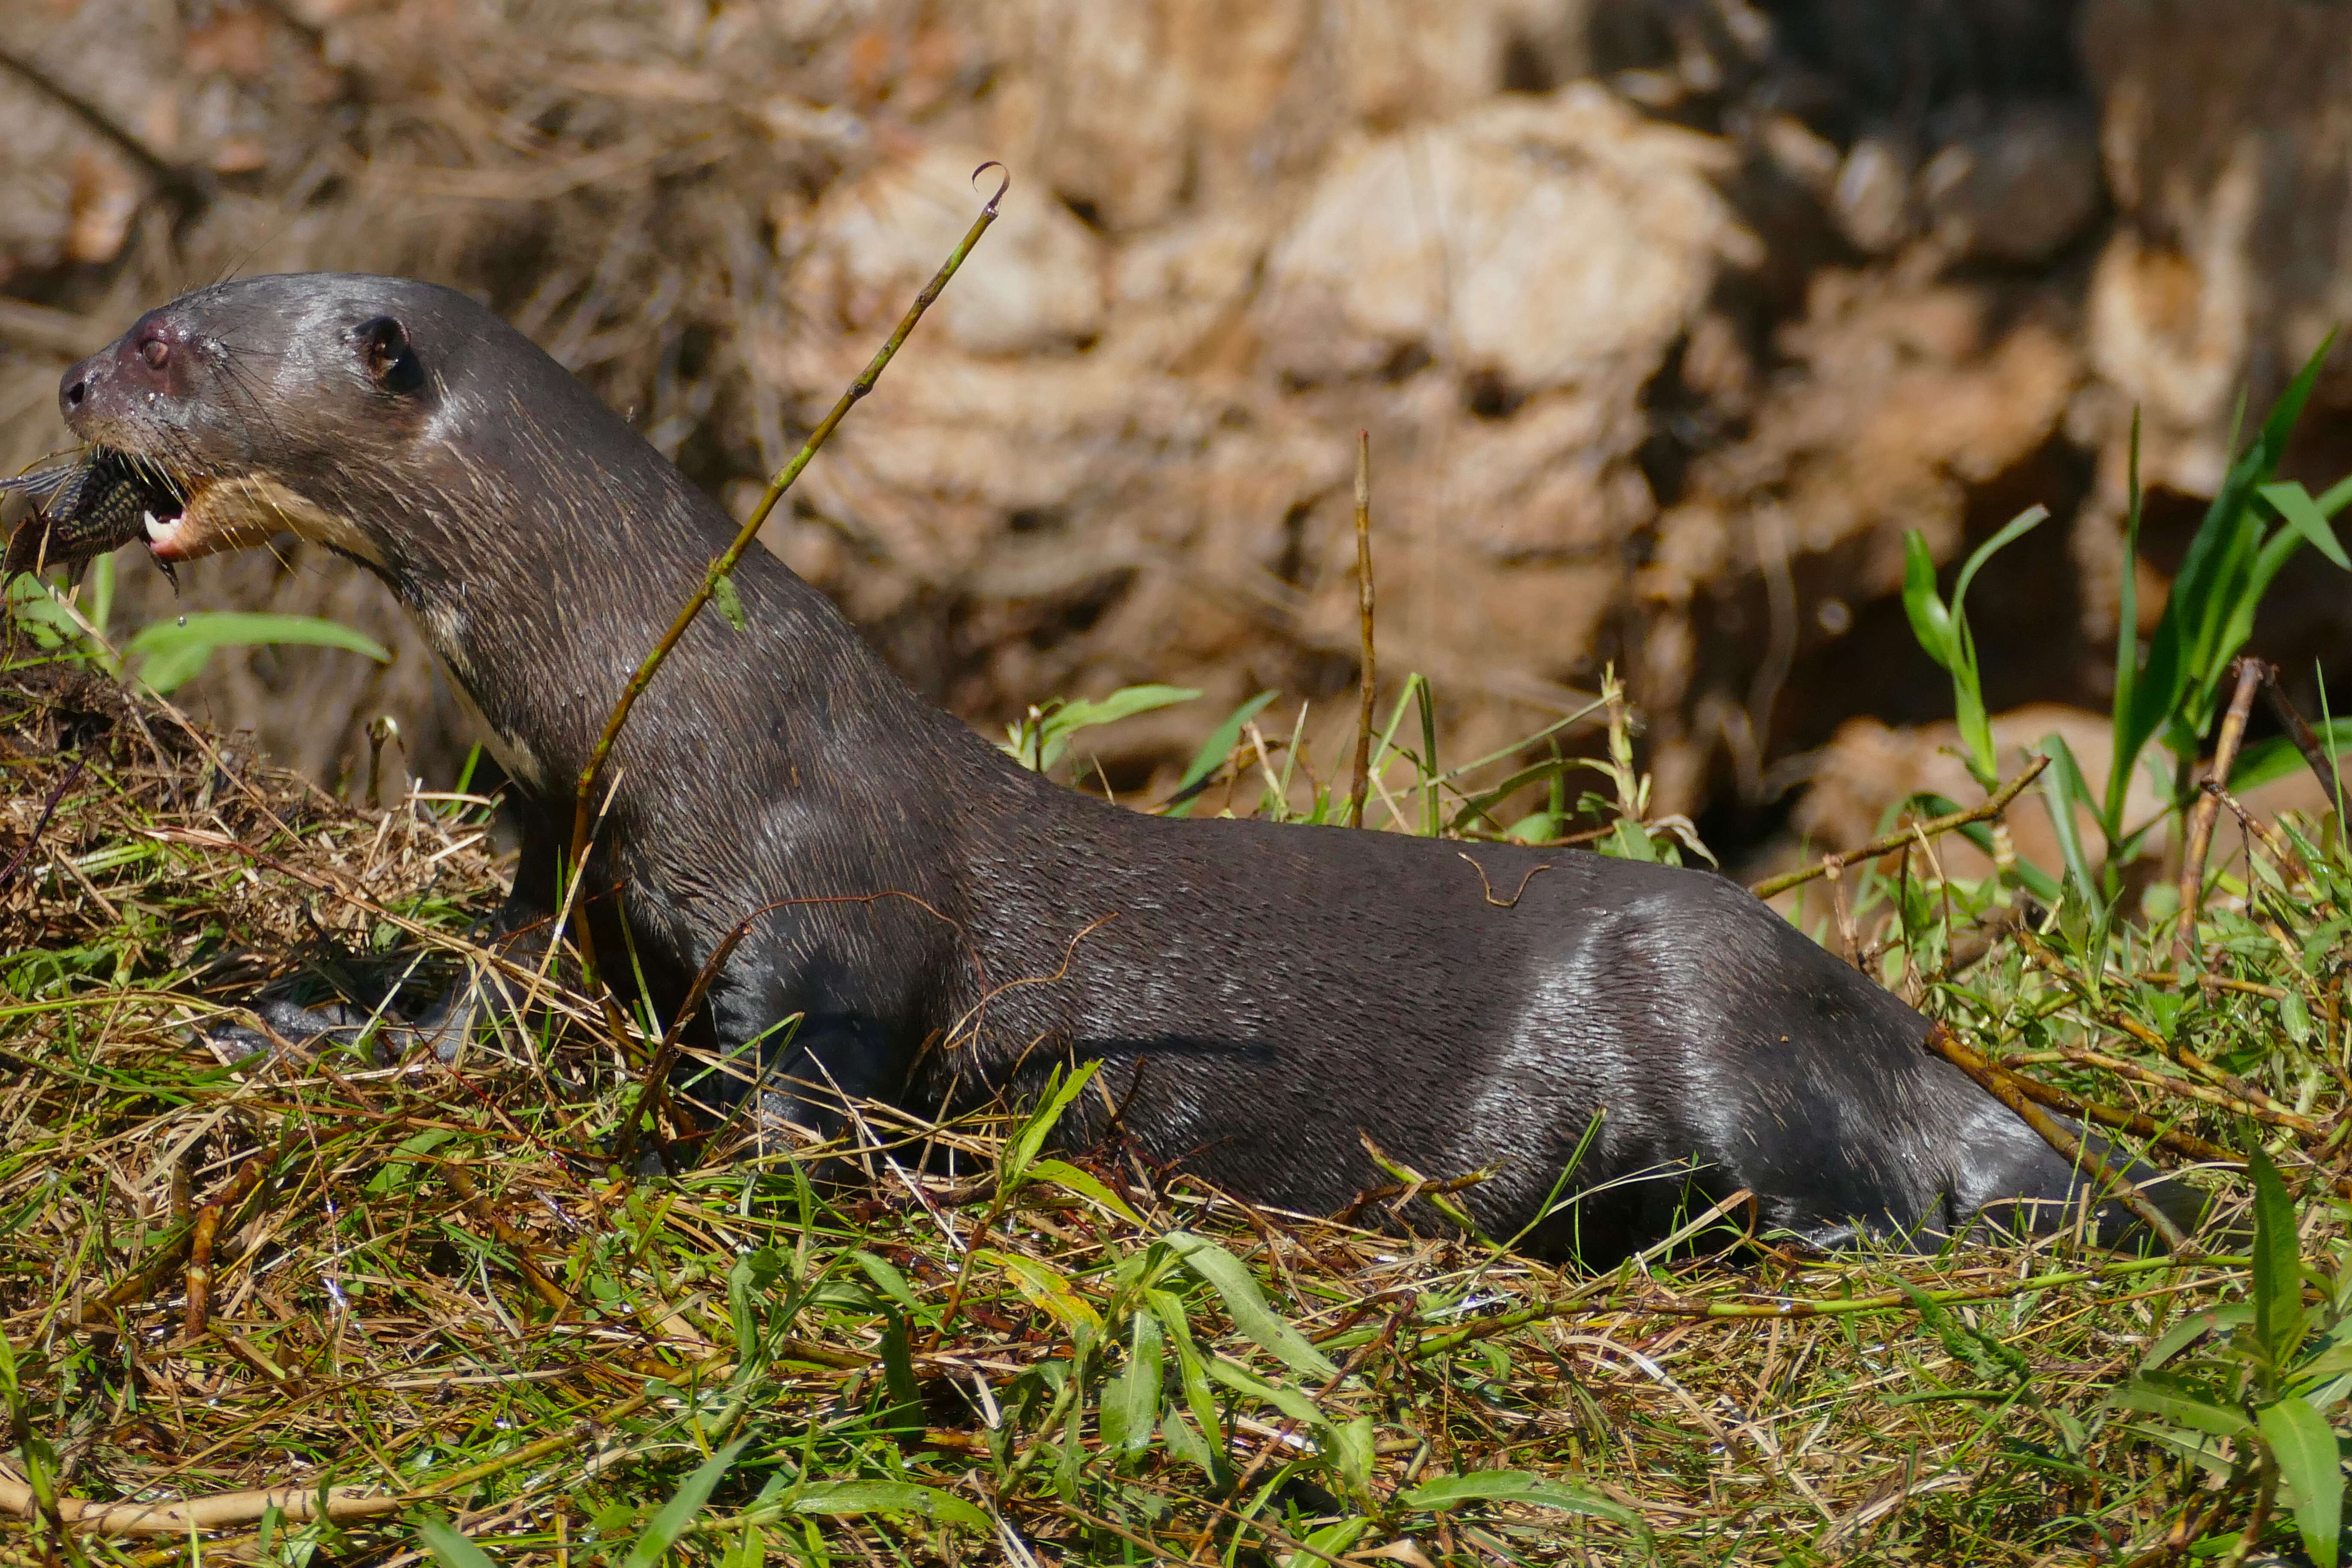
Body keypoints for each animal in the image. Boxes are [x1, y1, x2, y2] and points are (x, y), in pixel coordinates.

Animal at [37, 276, 2192, 1260]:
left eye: (172, 338)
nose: (61, 381)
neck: (665, 718)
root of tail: (1898, 1022)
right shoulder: (574, 873)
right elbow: (476, 993)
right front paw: (290, 1015)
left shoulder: (834, 898)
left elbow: (824, 1070)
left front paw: (694, 1159)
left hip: (1723, 1015)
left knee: (1866, 1193)